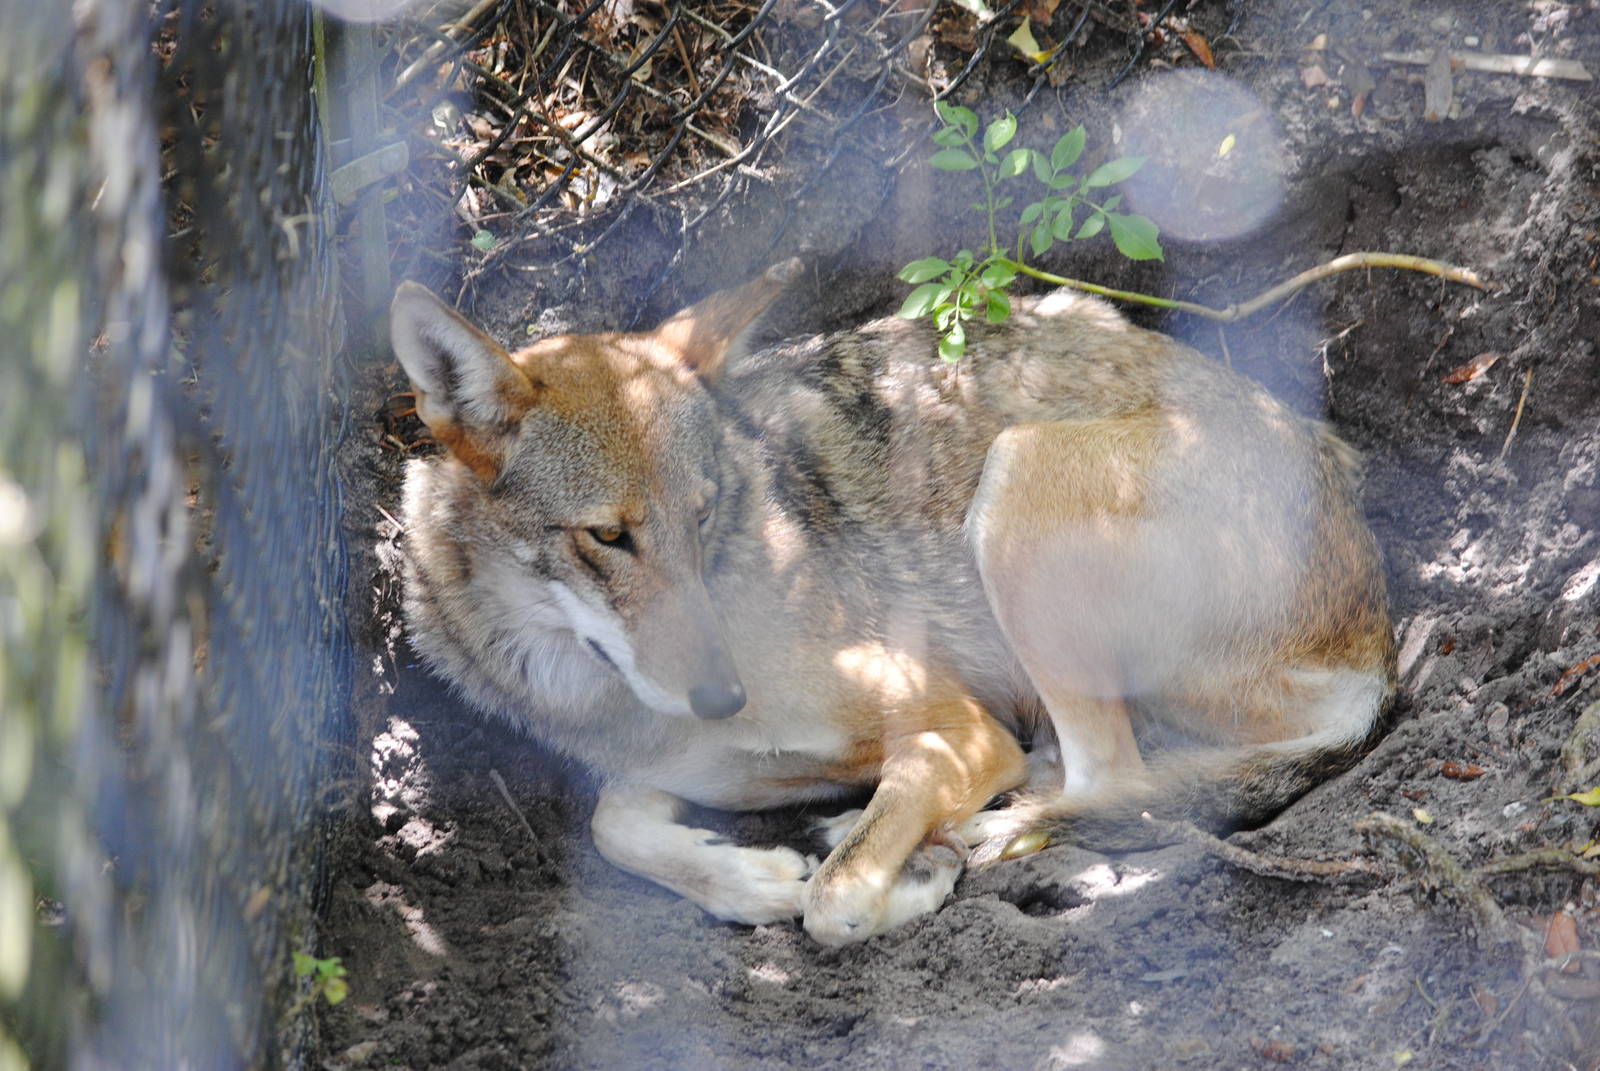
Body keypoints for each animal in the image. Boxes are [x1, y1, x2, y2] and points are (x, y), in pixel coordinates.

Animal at [388, 259, 1395, 946]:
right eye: (608, 535)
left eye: (704, 514)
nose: (722, 695)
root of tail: (1380, 643)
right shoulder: (685, 766)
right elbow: (614, 824)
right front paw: (750, 878)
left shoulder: (958, 723)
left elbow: (832, 901)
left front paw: (901, 881)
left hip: (1014, 487)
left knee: (1104, 778)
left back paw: (970, 835)